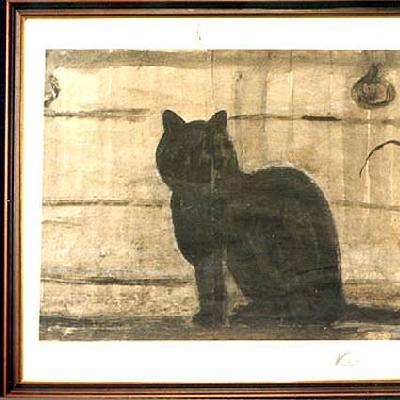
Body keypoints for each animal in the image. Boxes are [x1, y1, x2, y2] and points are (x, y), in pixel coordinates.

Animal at [156, 110, 344, 327]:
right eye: (189, 152)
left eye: (212, 153)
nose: (203, 165)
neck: (198, 202)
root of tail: (340, 304)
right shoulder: (199, 251)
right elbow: (204, 282)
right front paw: (207, 316)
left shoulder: (215, 249)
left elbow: (213, 283)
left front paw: (212, 319)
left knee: (297, 304)